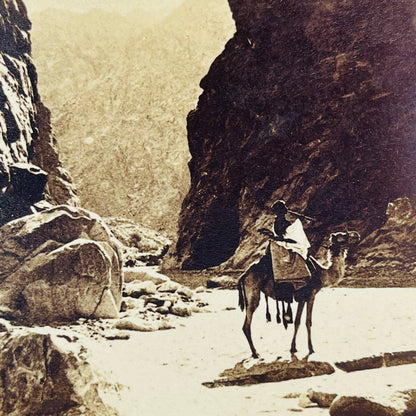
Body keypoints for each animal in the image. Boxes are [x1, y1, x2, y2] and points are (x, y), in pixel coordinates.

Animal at [237, 229, 360, 360]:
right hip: (253, 293)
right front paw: (311, 349)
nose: (357, 235)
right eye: (343, 235)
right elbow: (307, 322)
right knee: (246, 325)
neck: (322, 273)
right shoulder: (310, 295)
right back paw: (255, 353)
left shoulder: (302, 298)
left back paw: (255, 352)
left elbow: (297, 321)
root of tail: (244, 275)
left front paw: (293, 348)